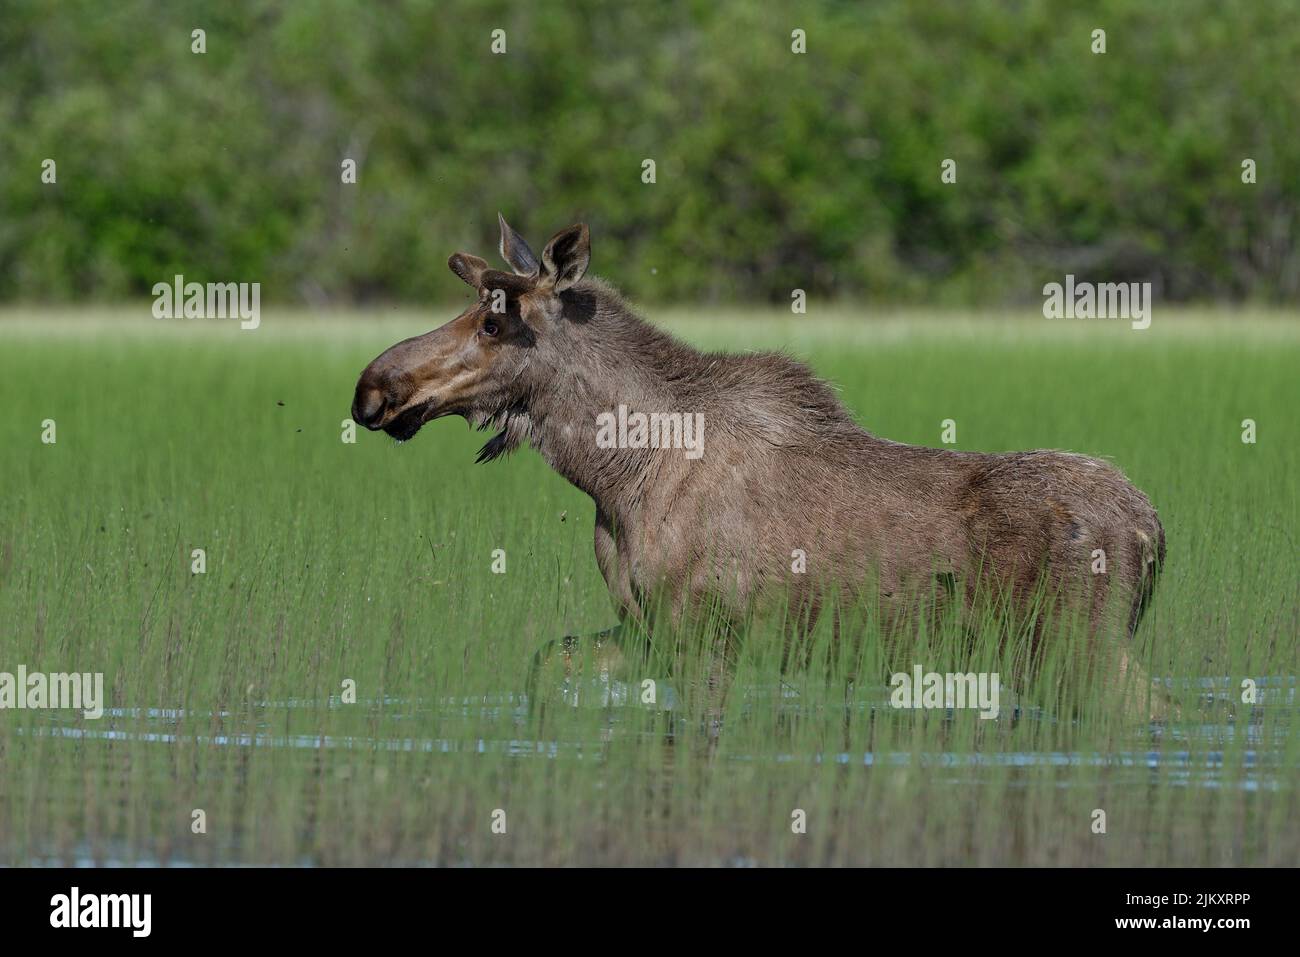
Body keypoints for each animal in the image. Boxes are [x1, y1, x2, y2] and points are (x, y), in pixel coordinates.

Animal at [352, 216, 1169, 720]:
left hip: (1081, 646)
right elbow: (545, 668)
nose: (373, 387)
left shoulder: (704, 631)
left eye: (493, 321)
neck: (615, 475)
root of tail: (1155, 528)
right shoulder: (645, 628)